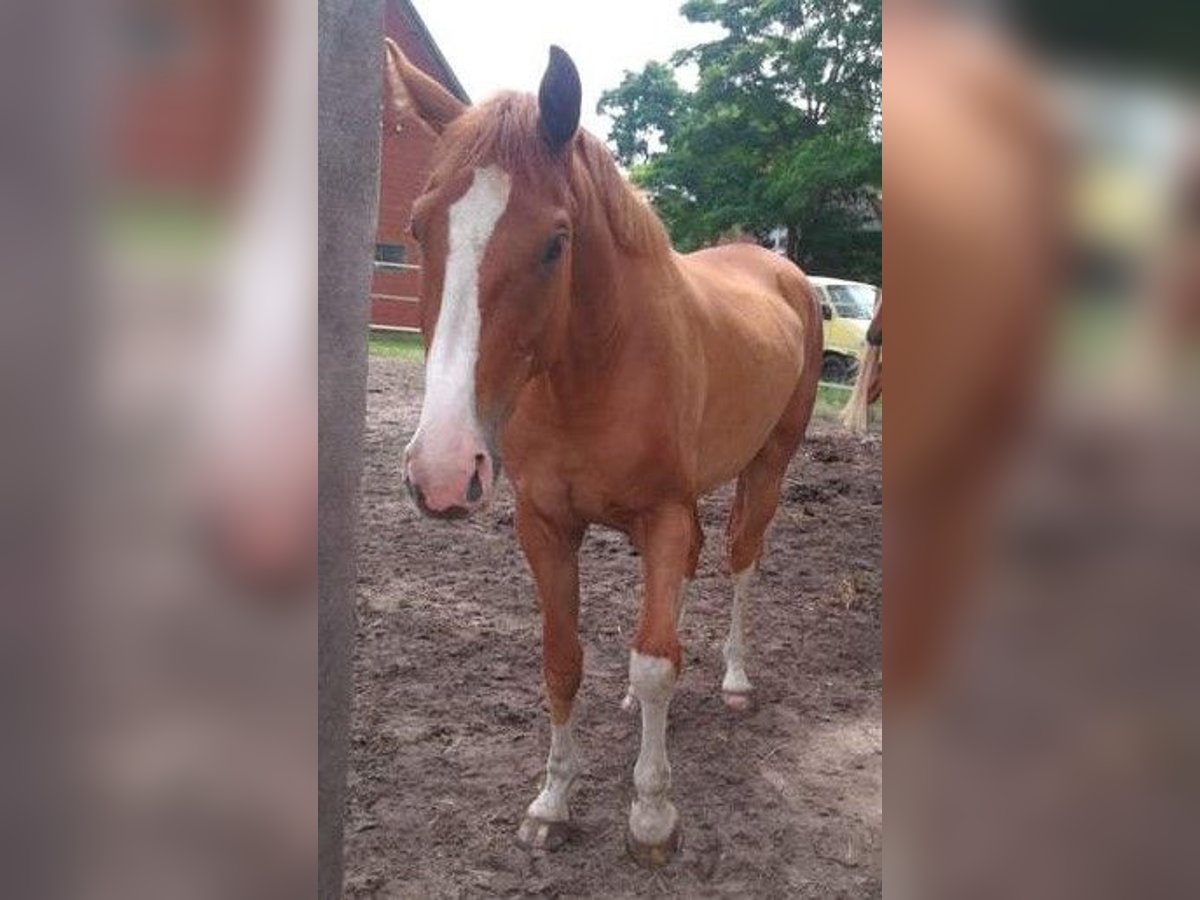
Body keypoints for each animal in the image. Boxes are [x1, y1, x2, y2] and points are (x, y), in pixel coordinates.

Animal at [384, 42, 825, 868]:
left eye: (556, 242)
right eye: (420, 229)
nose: (443, 473)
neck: (595, 367)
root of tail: (780, 269)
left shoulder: (664, 515)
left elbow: (654, 663)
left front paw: (652, 816)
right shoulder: (546, 525)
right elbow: (565, 659)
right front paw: (551, 804)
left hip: (767, 467)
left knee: (741, 560)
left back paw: (735, 678)